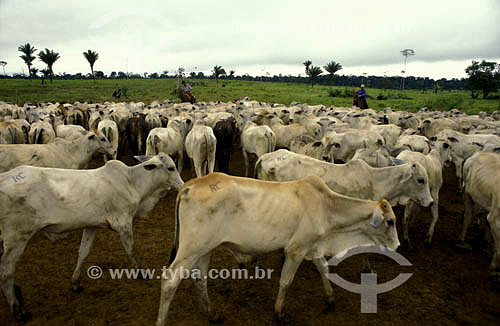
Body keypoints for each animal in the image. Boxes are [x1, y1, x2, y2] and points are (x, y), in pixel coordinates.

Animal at [0, 153, 184, 320]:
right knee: (6, 271)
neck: (132, 181)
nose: (182, 184)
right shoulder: (124, 223)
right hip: (17, 238)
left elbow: (83, 252)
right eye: (171, 168)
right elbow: (131, 250)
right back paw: (18, 309)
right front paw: (141, 273)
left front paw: (76, 283)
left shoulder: (91, 226)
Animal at [156, 172, 398, 324]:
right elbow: (285, 282)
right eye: (391, 221)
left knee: (200, 279)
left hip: (204, 249)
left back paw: (213, 314)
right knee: (170, 280)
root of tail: (190, 185)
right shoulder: (296, 249)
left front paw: (330, 299)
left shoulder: (313, 246)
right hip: (191, 248)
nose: (397, 245)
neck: (327, 205)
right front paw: (279, 313)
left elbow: (324, 269)